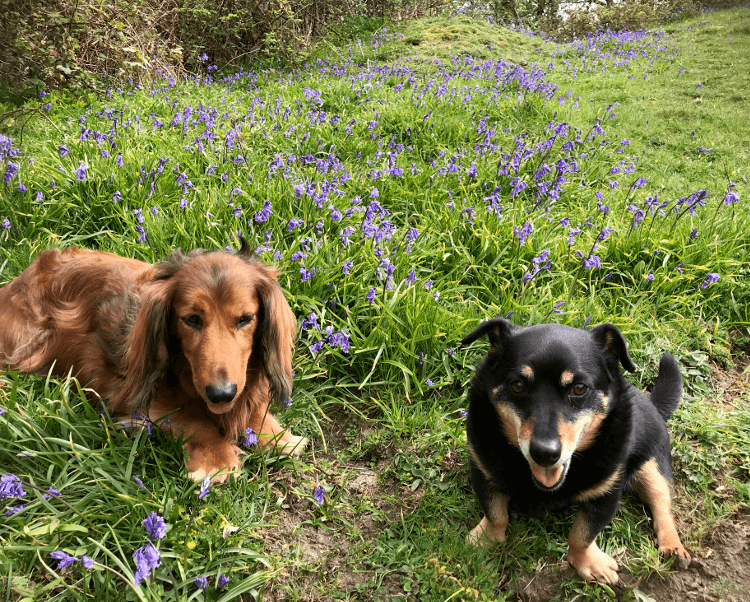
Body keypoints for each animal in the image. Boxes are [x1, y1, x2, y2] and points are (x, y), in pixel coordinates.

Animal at [0, 237, 306, 480]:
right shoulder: (132, 394)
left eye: (245, 318)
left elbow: (255, 408)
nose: (222, 394)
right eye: (191, 319)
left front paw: (279, 437)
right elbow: (191, 419)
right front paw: (215, 458)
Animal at [464, 318, 692, 580]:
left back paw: (673, 547)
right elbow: (495, 513)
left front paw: (588, 563)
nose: (544, 453)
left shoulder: (607, 493)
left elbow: (583, 534)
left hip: (653, 467)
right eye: (518, 385)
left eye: (580, 388)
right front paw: (485, 540)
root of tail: (652, 403)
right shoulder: (482, 470)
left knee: (662, 504)